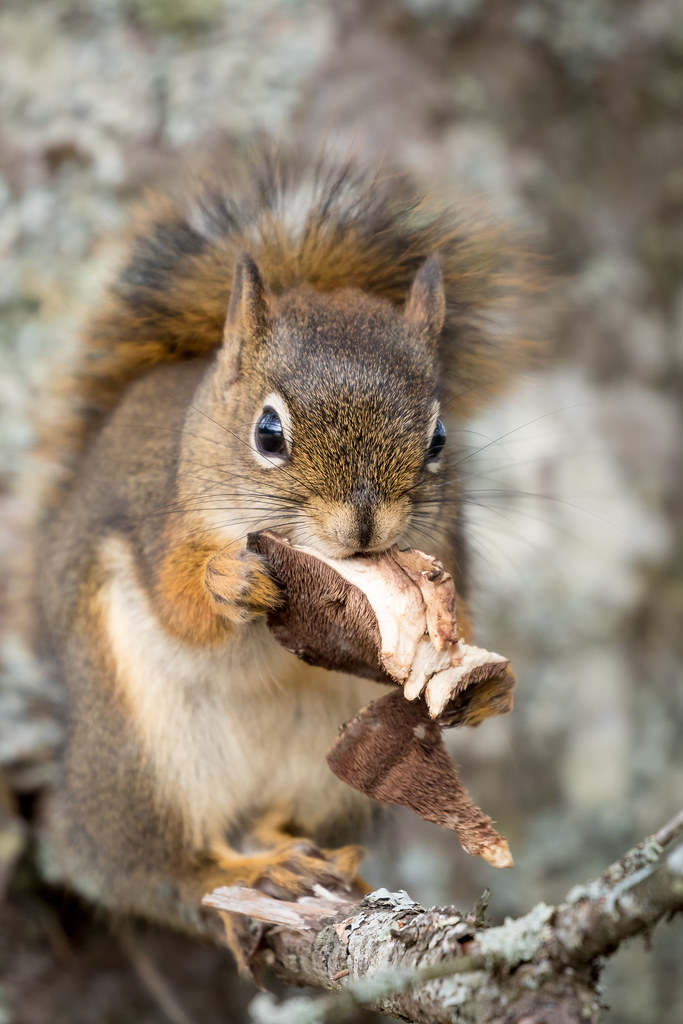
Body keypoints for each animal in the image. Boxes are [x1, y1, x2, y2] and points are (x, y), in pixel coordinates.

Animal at [34, 143, 528, 957]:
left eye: (438, 439)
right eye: (267, 433)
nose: (363, 527)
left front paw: (482, 690)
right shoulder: (161, 521)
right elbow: (179, 607)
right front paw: (229, 580)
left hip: (326, 776)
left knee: (281, 818)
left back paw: (296, 856)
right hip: (140, 759)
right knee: (153, 864)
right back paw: (227, 871)